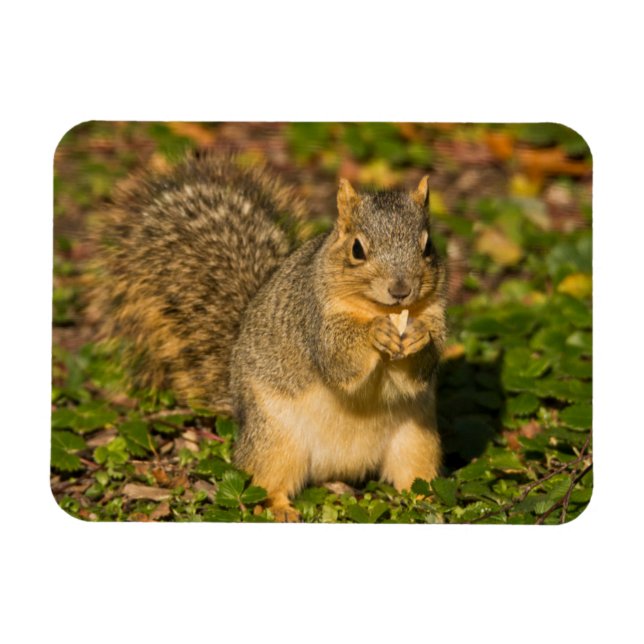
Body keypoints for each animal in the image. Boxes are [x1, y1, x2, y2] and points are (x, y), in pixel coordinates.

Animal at [94, 154, 448, 521]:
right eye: (357, 249)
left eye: (428, 247)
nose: (401, 289)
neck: (380, 309)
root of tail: (340, 468)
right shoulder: (313, 319)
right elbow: (338, 358)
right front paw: (374, 332)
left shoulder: (435, 312)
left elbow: (420, 369)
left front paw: (419, 337)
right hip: (274, 439)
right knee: (265, 481)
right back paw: (280, 509)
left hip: (417, 440)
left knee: (414, 476)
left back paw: (427, 500)